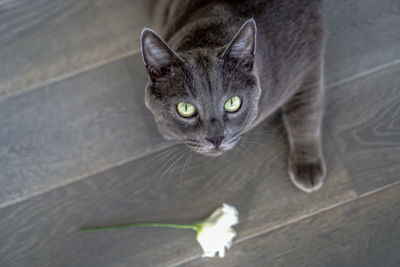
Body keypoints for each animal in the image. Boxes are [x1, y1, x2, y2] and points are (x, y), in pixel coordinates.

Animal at [140, 0, 324, 193]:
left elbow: (305, 113)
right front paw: (164, 129)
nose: (216, 138)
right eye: (185, 108)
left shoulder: (308, 64)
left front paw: (308, 168)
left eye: (233, 103)